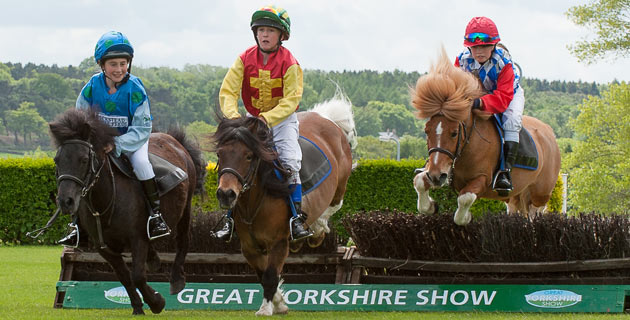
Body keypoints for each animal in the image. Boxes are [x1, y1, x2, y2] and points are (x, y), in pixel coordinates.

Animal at [50, 109, 207, 314]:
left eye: (83, 160)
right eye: (57, 160)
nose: (65, 201)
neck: (106, 201)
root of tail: (173, 139)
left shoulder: (137, 238)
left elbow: (138, 276)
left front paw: (157, 302)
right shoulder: (104, 247)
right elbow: (124, 276)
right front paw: (138, 307)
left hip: (185, 209)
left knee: (183, 241)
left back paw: (177, 280)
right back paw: (154, 259)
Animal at [215, 92, 358, 316]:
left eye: (249, 156)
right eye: (220, 154)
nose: (226, 194)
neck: (253, 204)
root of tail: (325, 117)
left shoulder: (278, 243)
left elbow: (270, 275)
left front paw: (266, 309)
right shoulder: (249, 247)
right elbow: (262, 275)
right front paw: (279, 302)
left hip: (340, 185)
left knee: (334, 205)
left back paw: (316, 230)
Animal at [414, 48, 564, 226]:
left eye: (454, 133)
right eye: (426, 131)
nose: (436, 177)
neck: (467, 146)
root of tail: (549, 133)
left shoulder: (482, 179)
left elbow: (464, 199)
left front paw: (466, 217)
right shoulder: (439, 169)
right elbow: (419, 181)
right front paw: (431, 206)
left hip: (540, 193)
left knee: (536, 211)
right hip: (514, 196)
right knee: (516, 209)